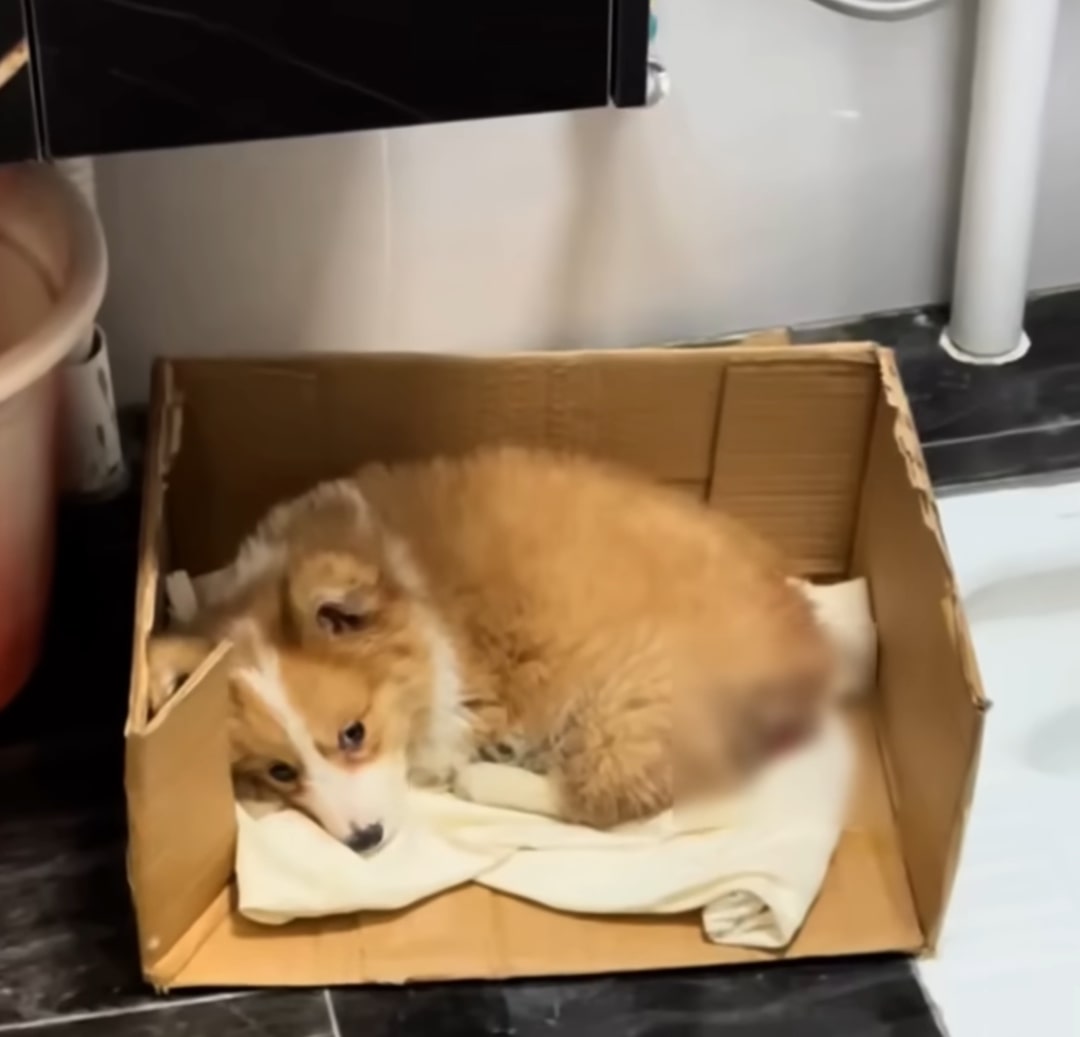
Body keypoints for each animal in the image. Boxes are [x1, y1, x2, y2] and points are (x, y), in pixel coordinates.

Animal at [147, 445, 846, 851]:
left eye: (354, 733)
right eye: (279, 771)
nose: (366, 841)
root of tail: (812, 656)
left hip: (636, 703)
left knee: (605, 801)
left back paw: (486, 779)